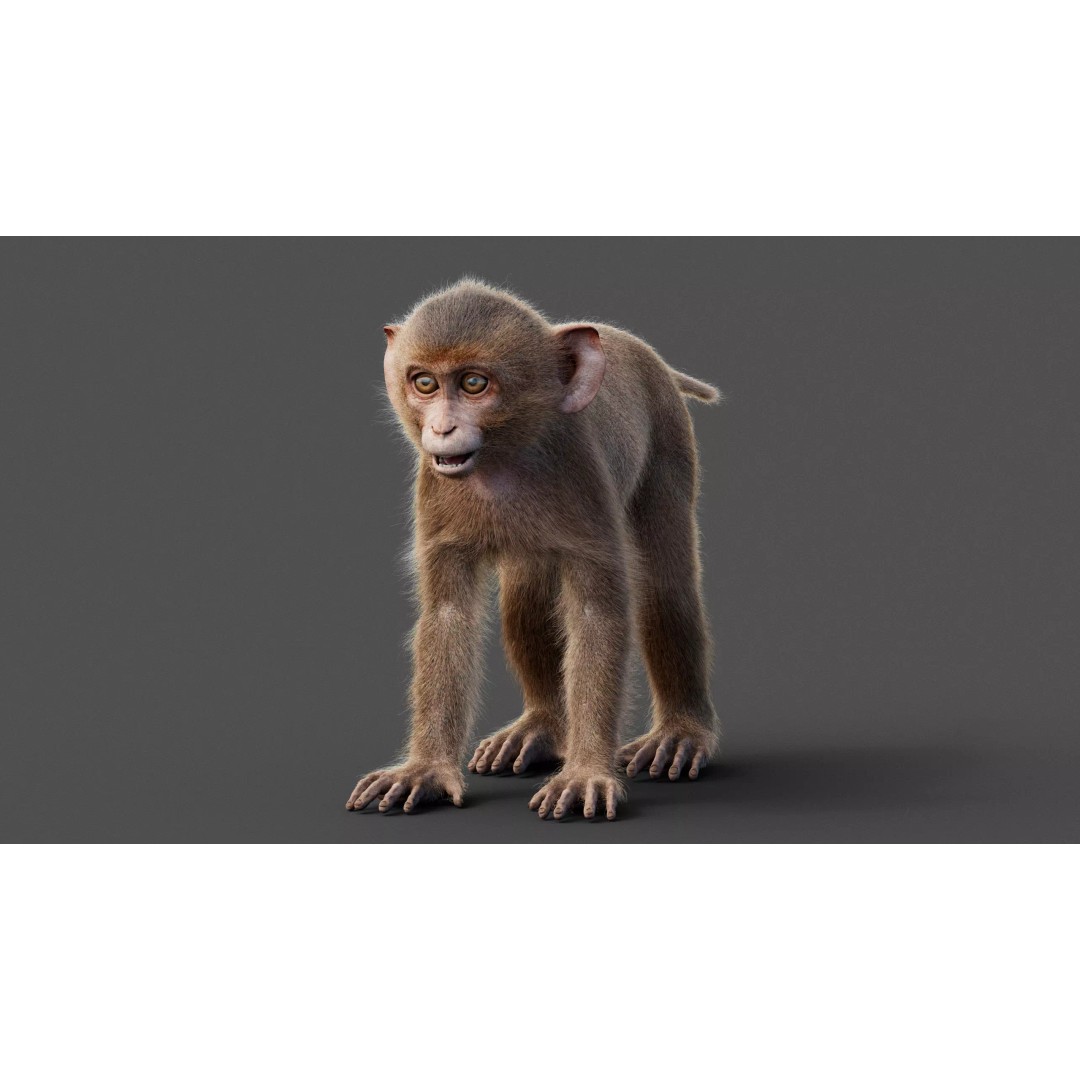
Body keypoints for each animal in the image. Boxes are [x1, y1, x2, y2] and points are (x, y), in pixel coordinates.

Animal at [346, 279, 721, 821]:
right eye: (425, 384)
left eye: (474, 384)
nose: (440, 429)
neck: (503, 461)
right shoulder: (434, 487)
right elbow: (448, 613)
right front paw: (426, 769)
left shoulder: (581, 474)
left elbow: (595, 614)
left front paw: (585, 773)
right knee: (525, 594)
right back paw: (541, 729)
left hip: (670, 436)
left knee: (666, 586)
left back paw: (681, 735)